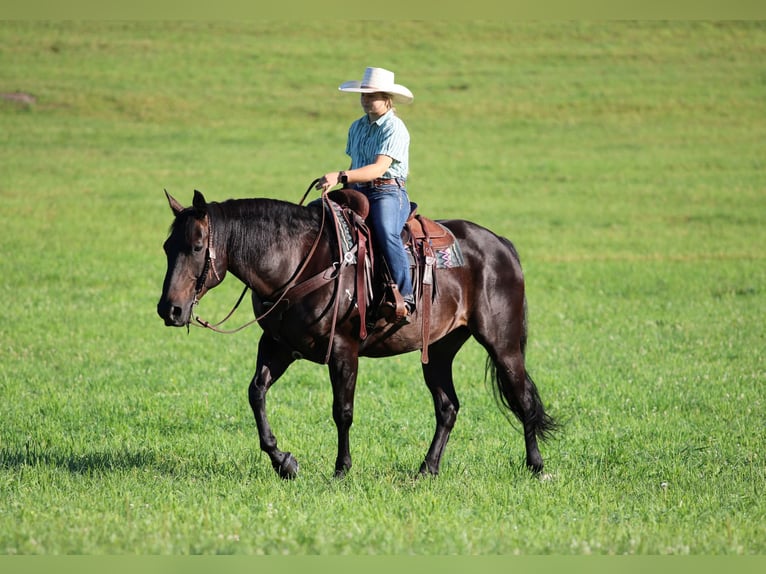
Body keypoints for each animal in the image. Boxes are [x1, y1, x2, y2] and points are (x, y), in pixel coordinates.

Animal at [157, 189, 557, 479]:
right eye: (166, 247)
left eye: (196, 246)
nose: (169, 309)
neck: (300, 261)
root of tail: (500, 244)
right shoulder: (278, 346)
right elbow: (256, 394)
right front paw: (284, 462)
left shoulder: (343, 350)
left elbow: (343, 411)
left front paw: (341, 469)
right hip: (440, 349)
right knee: (448, 407)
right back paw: (427, 469)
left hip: (502, 344)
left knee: (523, 398)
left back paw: (536, 467)